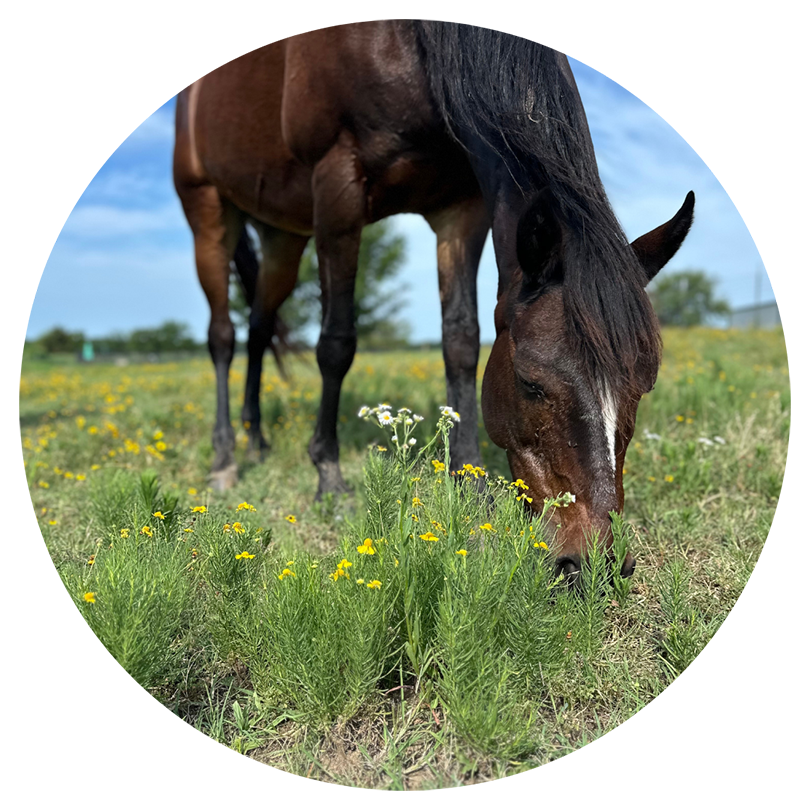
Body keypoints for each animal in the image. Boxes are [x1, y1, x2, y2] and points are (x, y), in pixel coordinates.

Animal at [173, 20, 693, 577]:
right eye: (530, 383)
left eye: (643, 386)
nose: (596, 563)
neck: (411, 42)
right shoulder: (337, 186)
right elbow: (336, 343)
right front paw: (329, 478)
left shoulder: (460, 208)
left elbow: (461, 341)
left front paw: (469, 481)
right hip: (208, 210)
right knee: (223, 335)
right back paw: (225, 460)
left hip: (282, 236)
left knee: (259, 326)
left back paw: (257, 443)